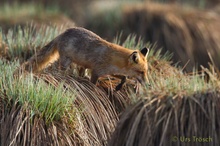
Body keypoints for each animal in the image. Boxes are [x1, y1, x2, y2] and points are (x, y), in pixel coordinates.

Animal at [22, 27, 150, 89]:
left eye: (146, 71)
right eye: (141, 72)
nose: (148, 84)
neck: (114, 60)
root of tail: (63, 33)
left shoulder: (110, 71)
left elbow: (124, 77)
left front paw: (119, 86)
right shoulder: (97, 71)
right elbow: (94, 83)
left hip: (82, 65)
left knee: (81, 72)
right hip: (65, 61)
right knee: (60, 72)